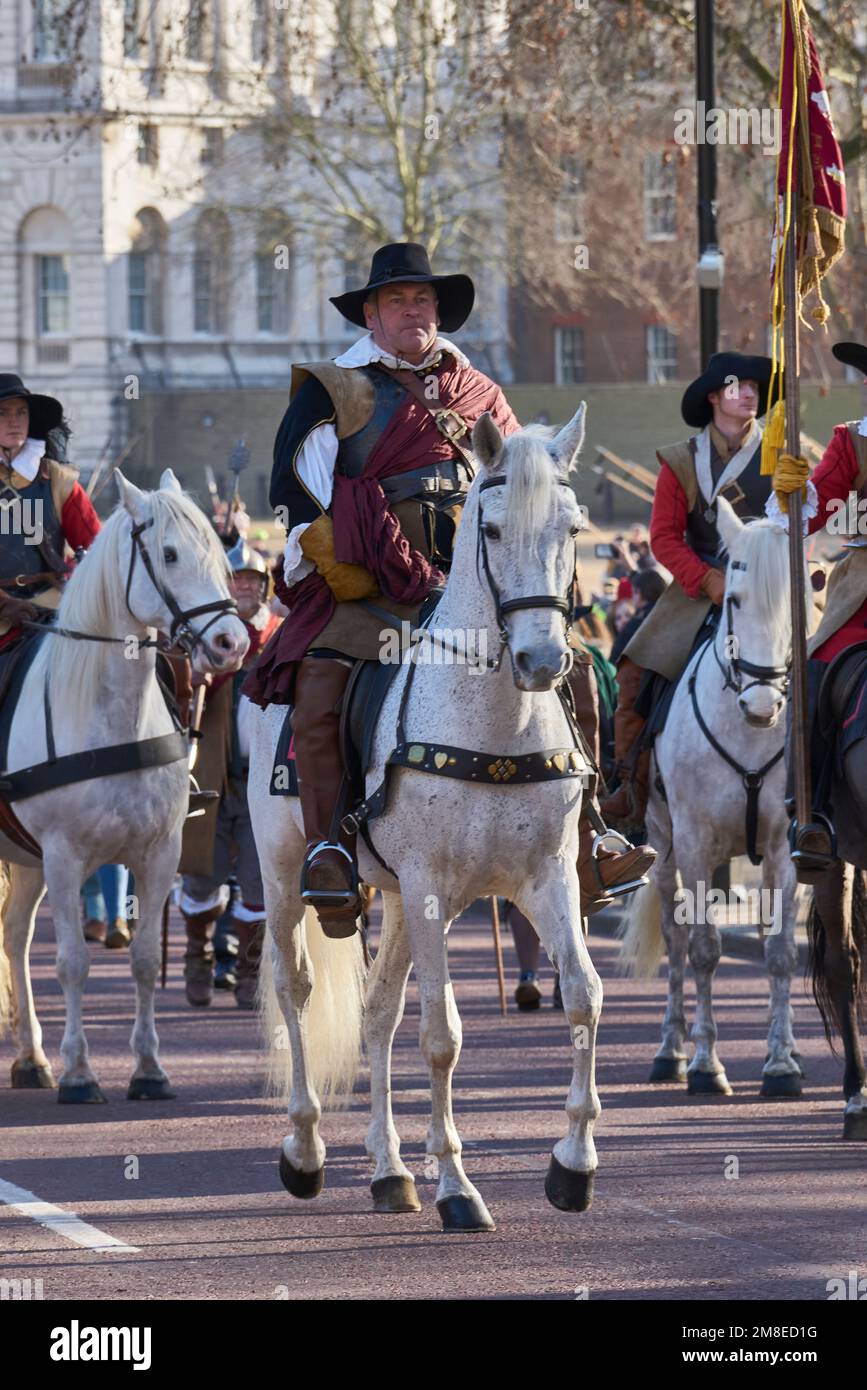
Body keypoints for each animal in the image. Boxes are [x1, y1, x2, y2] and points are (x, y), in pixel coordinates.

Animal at [0, 472, 247, 1100]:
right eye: (169, 554)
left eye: (218, 552)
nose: (233, 644)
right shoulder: (64, 856)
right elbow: (72, 963)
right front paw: (80, 1073)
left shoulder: (159, 852)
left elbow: (142, 959)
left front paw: (149, 1068)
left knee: (13, 936)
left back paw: (30, 1057)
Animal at [250, 405, 603, 1234]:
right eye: (493, 529)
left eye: (571, 527)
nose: (543, 661)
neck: (493, 723)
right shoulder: (431, 885)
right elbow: (441, 1036)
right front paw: (457, 1186)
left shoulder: (547, 878)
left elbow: (583, 995)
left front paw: (571, 1164)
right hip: (287, 877)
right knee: (294, 989)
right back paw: (305, 1149)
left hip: (401, 901)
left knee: (377, 1011)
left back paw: (388, 1171)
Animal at [619, 500, 811, 1095]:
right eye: (733, 600)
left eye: (796, 603)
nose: (762, 704)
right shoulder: (696, 844)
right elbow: (703, 950)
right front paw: (706, 1064)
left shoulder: (784, 849)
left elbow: (779, 952)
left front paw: (781, 1063)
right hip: (663, 847)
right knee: (676, 938)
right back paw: (671, 1051)